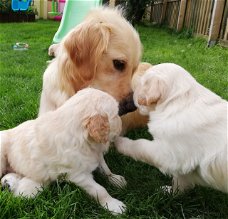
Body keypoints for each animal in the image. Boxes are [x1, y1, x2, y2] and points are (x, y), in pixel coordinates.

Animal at [116, 63, 228, 193]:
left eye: (140, 84)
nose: (130, 99)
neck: (177, 101)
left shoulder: (168, 153)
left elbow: (139, 145)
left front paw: (118, 141)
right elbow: (180, 180)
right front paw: (171, 192)